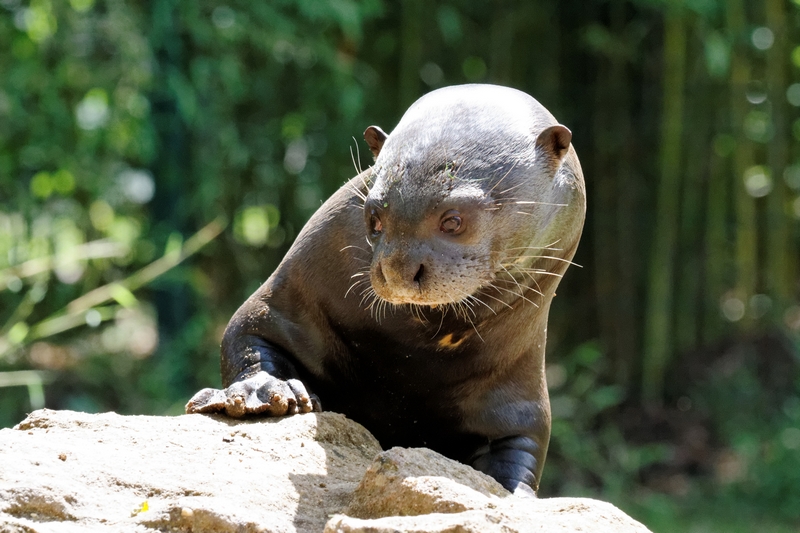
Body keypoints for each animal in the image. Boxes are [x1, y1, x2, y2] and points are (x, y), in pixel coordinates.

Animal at [188, 85, 588, 492]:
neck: (412, 356)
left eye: (454, 220)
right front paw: (267, 390)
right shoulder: (286, 297)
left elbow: (519, 454)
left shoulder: (521, 402)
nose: (398, 270)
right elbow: (249, 332)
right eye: (374, 217)